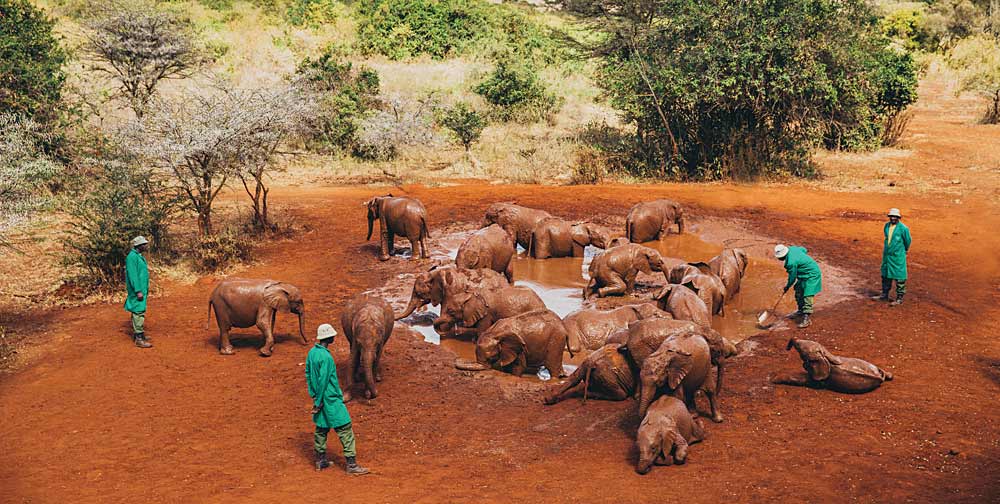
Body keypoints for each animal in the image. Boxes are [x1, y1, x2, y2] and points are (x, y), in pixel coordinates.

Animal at [772, 338, 900, 394]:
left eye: (799, 348)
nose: (787, 347)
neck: (826, 354)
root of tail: (880, 376)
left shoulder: (820, 380)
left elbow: (805, 380)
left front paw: (774, 379)